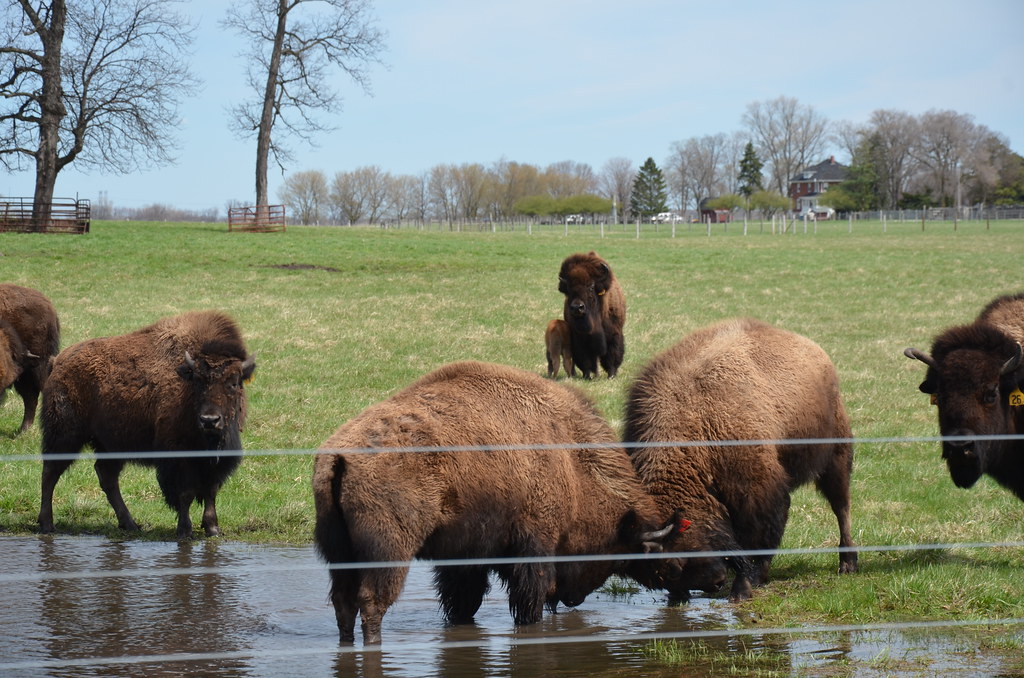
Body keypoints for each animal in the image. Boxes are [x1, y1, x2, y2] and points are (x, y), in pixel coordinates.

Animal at [38, 310, 256, 539]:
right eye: (198, 381)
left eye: (234, 383)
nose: (209, 420)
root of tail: (58, 361)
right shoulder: (178, 458)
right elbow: (185, 494)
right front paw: (185, 530)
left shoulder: (213, 462)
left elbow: (210, 491)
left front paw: (213, 529)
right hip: (65, 435)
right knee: (50, 473)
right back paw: (47, 524)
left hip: (110, 444)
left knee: (106, 476)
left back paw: (130, 523)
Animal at [313, 360, 684, 645]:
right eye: (612, 552)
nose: (570, 598)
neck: (569, 457)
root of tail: (339, 455)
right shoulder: (534, 545)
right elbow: (526, 599)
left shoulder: (465, 556)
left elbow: (464, 602)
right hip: (389, 550)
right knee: (372, 601)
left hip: (339, 552)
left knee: (343, 601)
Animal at [623, 318, 858, 602]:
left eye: (674, 563)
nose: (715, 583)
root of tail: (817, 352)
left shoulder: (755, 490)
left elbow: (758, 537)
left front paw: (741, 589)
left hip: (836, 457)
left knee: (841, 507)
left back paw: (848, 563)